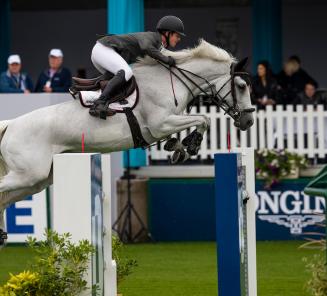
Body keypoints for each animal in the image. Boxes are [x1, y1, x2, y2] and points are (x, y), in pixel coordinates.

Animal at [0, 40, 254, 234]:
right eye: (242, 86)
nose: (248, 121)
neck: (171, 81)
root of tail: (11, 125)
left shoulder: (167, 123)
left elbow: (199, 121)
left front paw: (178, 148)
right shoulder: (161, 123)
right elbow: (204, 119)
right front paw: (190, 145)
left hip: (38, 180)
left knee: (4, 199)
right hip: (29, 174)